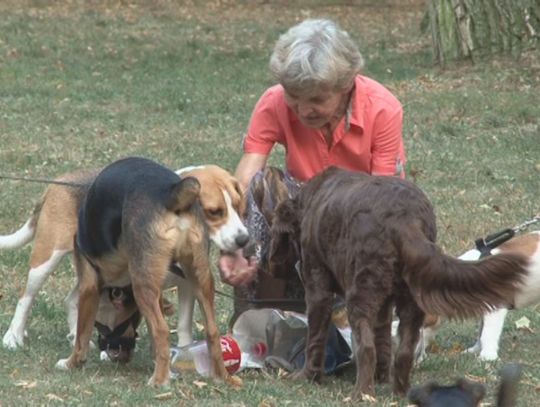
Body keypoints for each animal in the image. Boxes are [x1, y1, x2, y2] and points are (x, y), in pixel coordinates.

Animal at [53, 158, 239, 388]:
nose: (118, 354)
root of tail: (170, 192)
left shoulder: (89, 285)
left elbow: (81, 334)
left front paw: (72, 362)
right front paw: (165, 367)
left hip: (143, 285)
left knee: (162, 330)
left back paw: (158, 381)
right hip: (199, 278)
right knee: (211, 330)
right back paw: (222, 376)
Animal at [268, 167, 528, 402]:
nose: (273, 266)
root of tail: (404, 220)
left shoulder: (318, 287)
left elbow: (316, 337)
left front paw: (307, 377)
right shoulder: (385, 302)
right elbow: (383, 338)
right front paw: (382, 378)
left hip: (360, 295)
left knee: (366, 348)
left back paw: (362, 395)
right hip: (409, 298)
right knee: (404, 351)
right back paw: (401, 392)